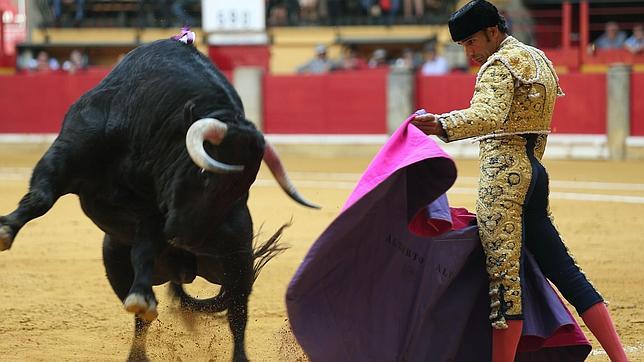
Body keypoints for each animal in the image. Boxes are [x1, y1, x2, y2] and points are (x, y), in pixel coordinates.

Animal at [0, 38, 320, 360]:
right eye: (204, 173)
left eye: (241, 191)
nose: (185, 239)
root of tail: (184, 272)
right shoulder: (64, 156)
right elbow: (39, 197)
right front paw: (5, 230)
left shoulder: (153, 212)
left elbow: (145, 246)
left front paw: (142, 296)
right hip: (114, 258)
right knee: (142, 318)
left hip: (233, 262)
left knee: (236, 315)